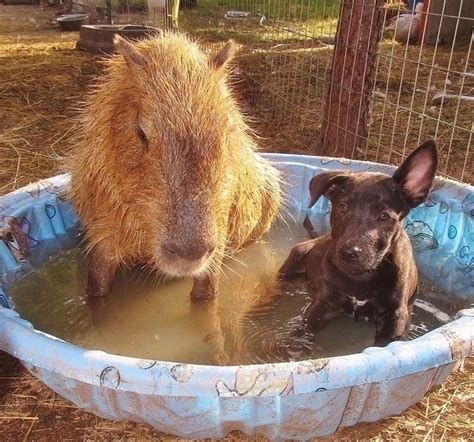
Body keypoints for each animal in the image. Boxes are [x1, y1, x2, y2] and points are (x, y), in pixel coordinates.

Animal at [280, 142, 438, 346]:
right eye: (342, 207)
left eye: (384, 216)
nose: (349, 253)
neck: (361, 277)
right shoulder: (323, 304)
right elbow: (301, 333)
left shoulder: (395, 316)